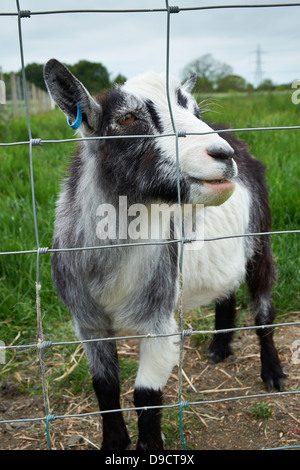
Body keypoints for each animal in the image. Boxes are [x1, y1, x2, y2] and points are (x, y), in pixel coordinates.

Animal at [43, 60, 284, 450]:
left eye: (195, 112)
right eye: (127, 119)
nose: (222, 155)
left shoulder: (158, 322)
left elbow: (146, 396)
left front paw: (149, 446)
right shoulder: (87, 323)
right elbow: (105, 388)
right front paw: (114, 443)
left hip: (261, 240)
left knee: (263, 308)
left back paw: (273, 372)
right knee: (226, 289)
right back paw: (220, 347)